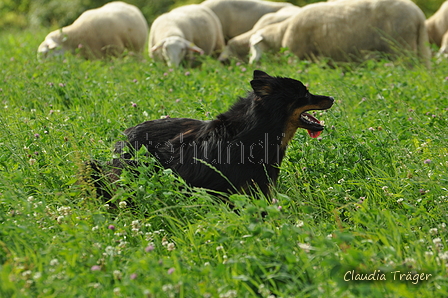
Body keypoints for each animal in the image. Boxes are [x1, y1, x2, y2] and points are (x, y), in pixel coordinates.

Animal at [248, 0, 430, 66]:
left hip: (401, 47)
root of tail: (418, 15)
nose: (251, 63)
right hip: (419, 45)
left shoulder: (296, 55)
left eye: (253, 46)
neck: (282, 32)